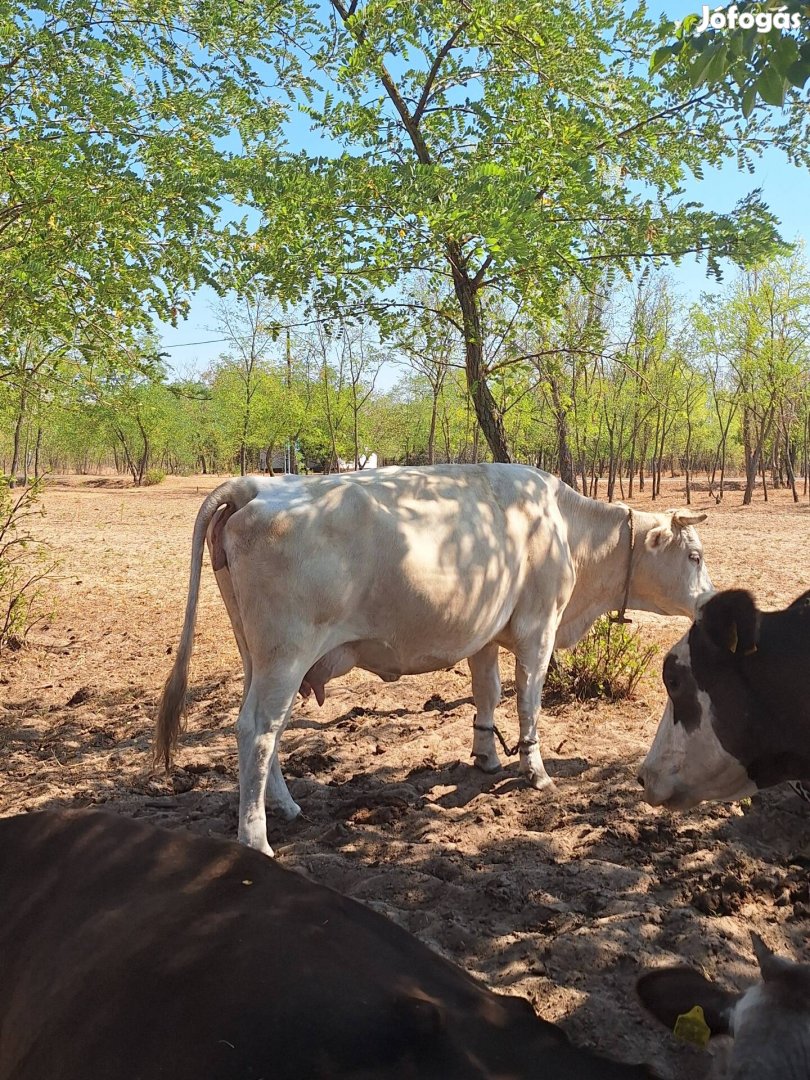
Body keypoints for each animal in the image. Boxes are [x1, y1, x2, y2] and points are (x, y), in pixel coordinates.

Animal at [155, 464, 712, 851]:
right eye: (694, 556)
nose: (710, 600)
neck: (563, 529)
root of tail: (256, 486)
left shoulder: (486, 634)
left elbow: (488, 694)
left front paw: (486, 756)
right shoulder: (538, 630)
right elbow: (528, 702)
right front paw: (535, 771)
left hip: (258, 656)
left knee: (262, 730)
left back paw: (286, 805)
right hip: (285, 654)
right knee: (258, 730)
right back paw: (257, 838)